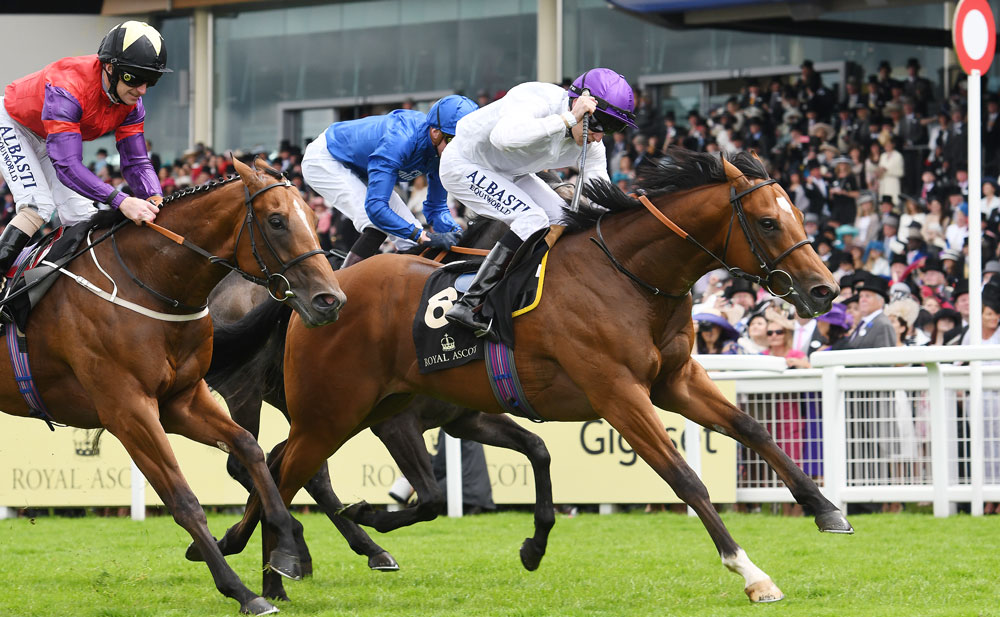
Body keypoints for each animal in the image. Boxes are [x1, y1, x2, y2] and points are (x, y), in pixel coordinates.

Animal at [0, 156, 344, 612]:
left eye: (313, 216)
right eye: (276, 221)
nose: (330, 300)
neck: (151, 283)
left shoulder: (181, 400)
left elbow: (249, 449)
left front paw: (285, 546)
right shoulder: (128, 410)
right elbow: (184, 500)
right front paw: (242, 590)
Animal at [219, 149, 852, 600]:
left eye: (798, 214)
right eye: (767, 222)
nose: (825, 289)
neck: (630, 276)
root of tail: (317, 291)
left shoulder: (673, 381)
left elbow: (753, 428)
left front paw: (825, 509)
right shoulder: (618, 393)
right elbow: (684, 478)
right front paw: (751, 571)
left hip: (361, 411)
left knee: (281, 467)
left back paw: (277, 565)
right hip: (334, 410)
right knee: (280, 468)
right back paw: (271, 561)